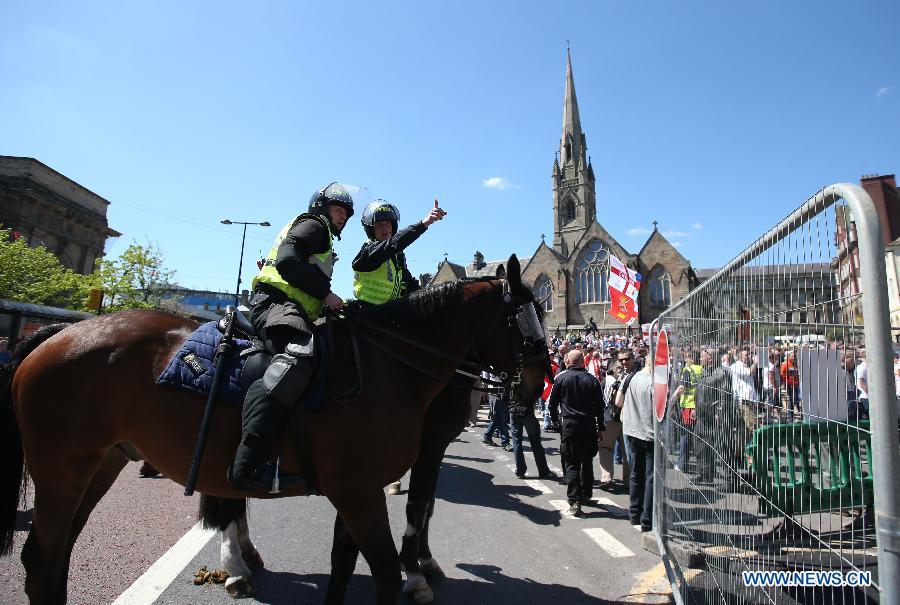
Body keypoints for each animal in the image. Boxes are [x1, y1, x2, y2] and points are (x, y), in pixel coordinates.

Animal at [1, 255, 548, 604]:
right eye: (524, 318)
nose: (534, 387)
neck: (388, 364)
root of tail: (60, 334)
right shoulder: (364, 487)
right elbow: (388, 565)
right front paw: (417, 575)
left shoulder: (358, 488)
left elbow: (345, 563)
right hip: (63, 471)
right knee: (43, 559)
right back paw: (238, 566)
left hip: (102, 463)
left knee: (57, 557)